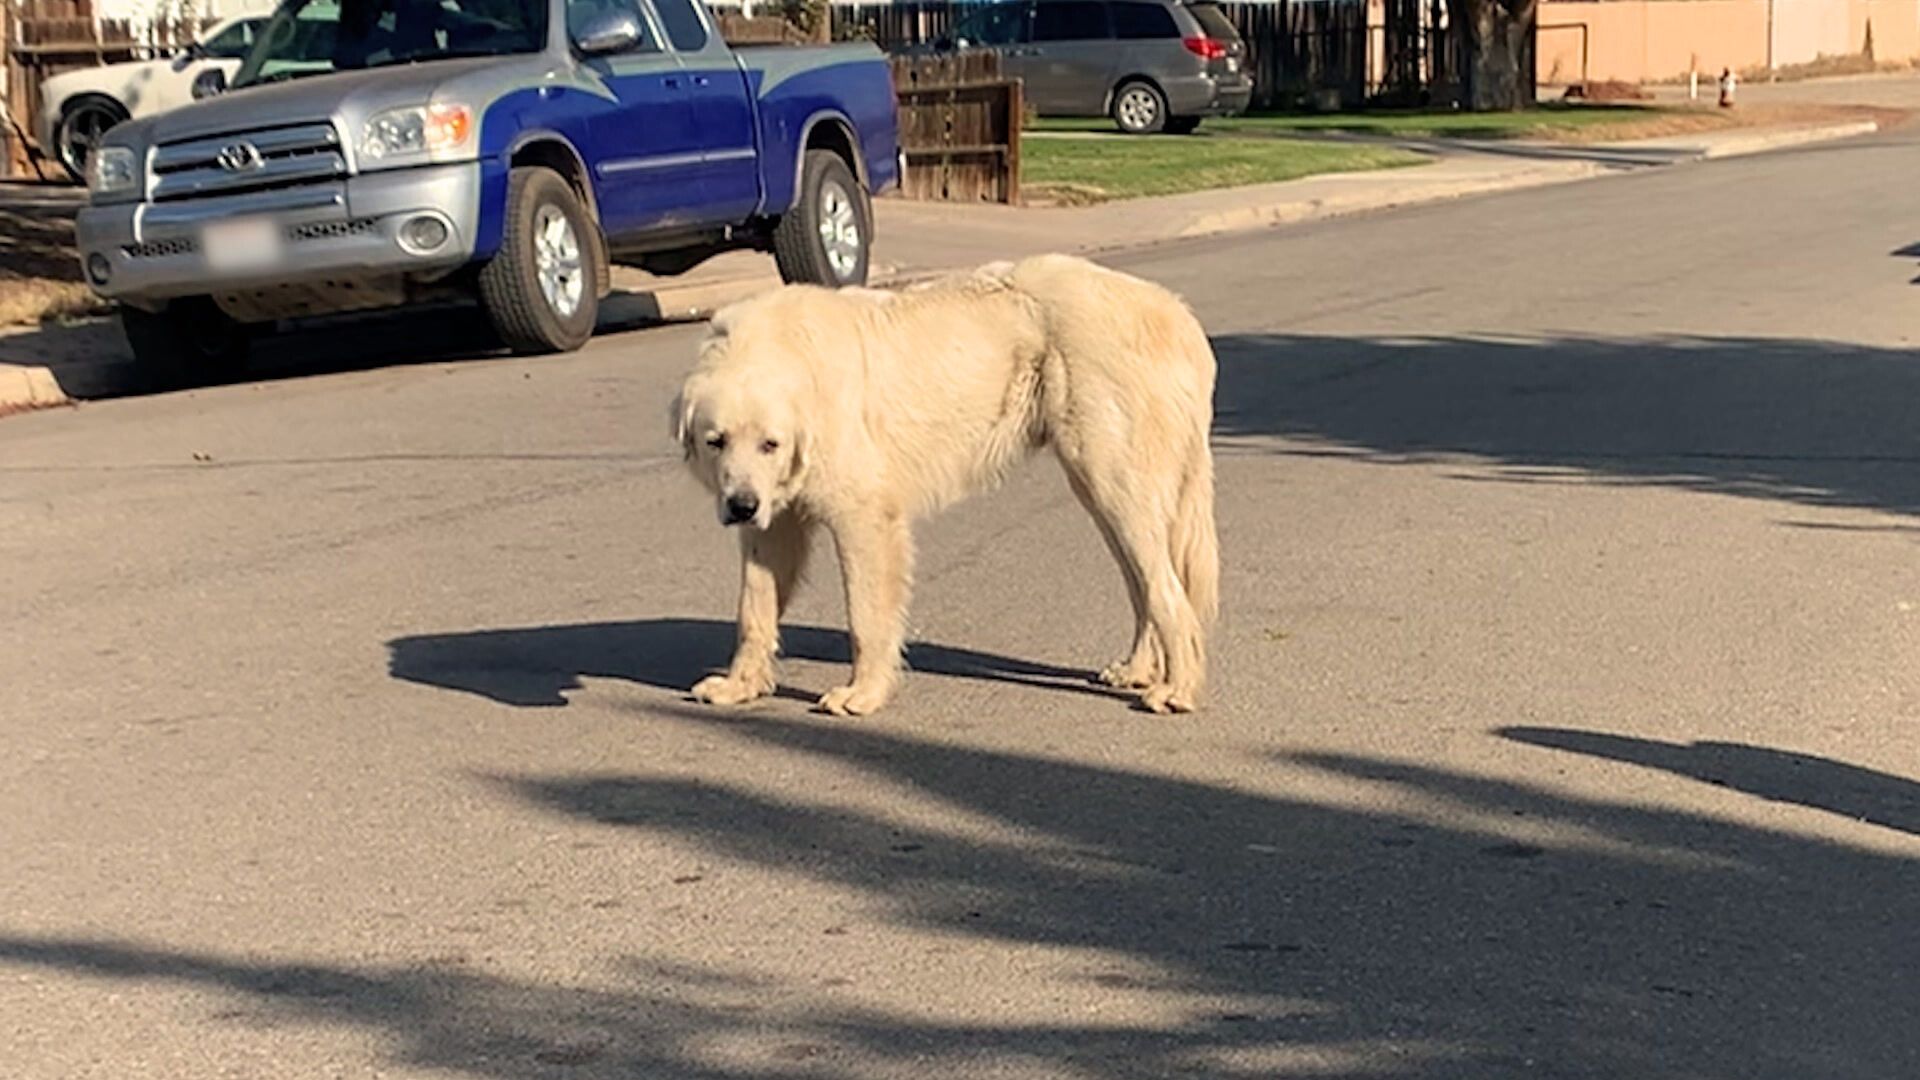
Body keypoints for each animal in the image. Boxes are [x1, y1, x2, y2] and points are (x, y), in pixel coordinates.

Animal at [672, 247, 1213, 711]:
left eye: (771, 443)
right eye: (716, 441)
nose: (741, 506)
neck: (790, 357)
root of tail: (1179, 314)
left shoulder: (865, 519)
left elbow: (866, 614)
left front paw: (862, 695)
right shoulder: (775, 522)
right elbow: (754, 609)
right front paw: (739, 686)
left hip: (1113, 479)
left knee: (1167, 590)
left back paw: (1178, 689)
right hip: (1101, 490)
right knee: (1143, 583)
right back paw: (1139, 670)